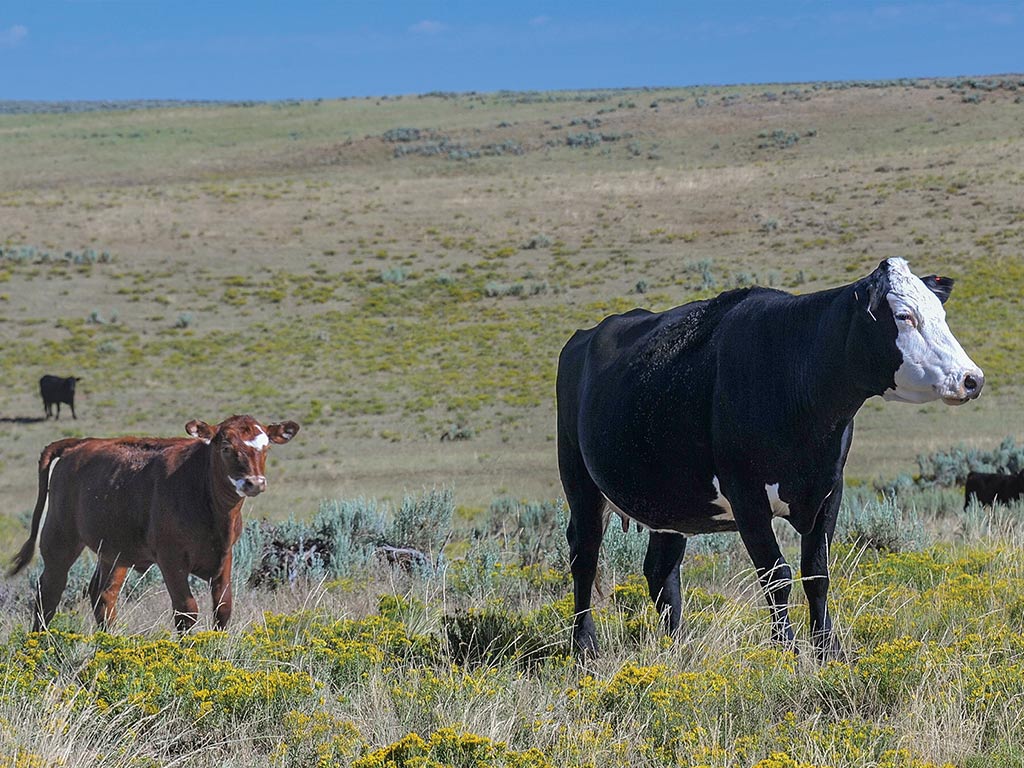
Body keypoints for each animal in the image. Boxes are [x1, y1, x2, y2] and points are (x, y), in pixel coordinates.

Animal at [9, 417, 299, 634]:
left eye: (266, 447)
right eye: (226, 447)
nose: (254, 482)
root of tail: (80, 444)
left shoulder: (225, 555)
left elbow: (223, 608)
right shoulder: (171, 559)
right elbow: (186, 610)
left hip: (114, 552)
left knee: (103, 595)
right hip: (60, 538)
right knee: (49, 592)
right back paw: (40, 643)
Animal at [561, 259, 983, 663]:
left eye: (941, 313)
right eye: (904, 316)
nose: (971, 378)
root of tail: (583, 337)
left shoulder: (830, 489)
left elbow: (817, 572)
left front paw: (829, 652)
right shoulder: (746, 496)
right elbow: (776, 574)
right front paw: (787, 652)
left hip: (669, 505)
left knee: (661, 571)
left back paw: (679, 647)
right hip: (581, 484)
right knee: (584, 557)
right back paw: (584, 647)